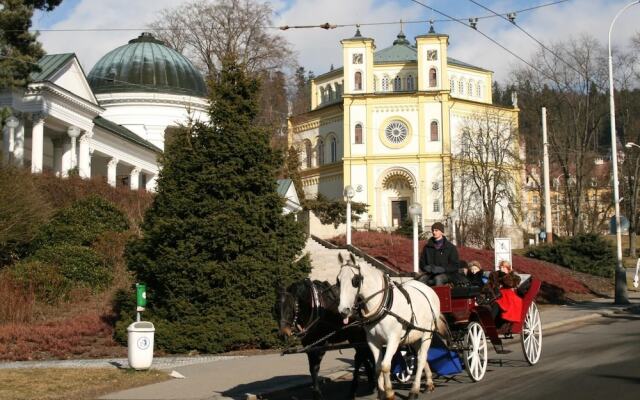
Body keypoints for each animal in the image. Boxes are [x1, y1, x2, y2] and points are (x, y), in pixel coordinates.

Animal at [338, 255, 442, 398]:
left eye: (355, 280)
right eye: (338, 280)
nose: (343, 310)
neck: (383, 305)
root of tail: (428, 289)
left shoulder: (393, 339)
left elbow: (385, 366)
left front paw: (389, 393)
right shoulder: (373, 341)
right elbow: (377, 368)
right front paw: (382, 393)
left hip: (427, 333)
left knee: (421, 358)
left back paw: (414, 390)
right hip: (415, 335)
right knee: (421, 355)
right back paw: (429, 383)